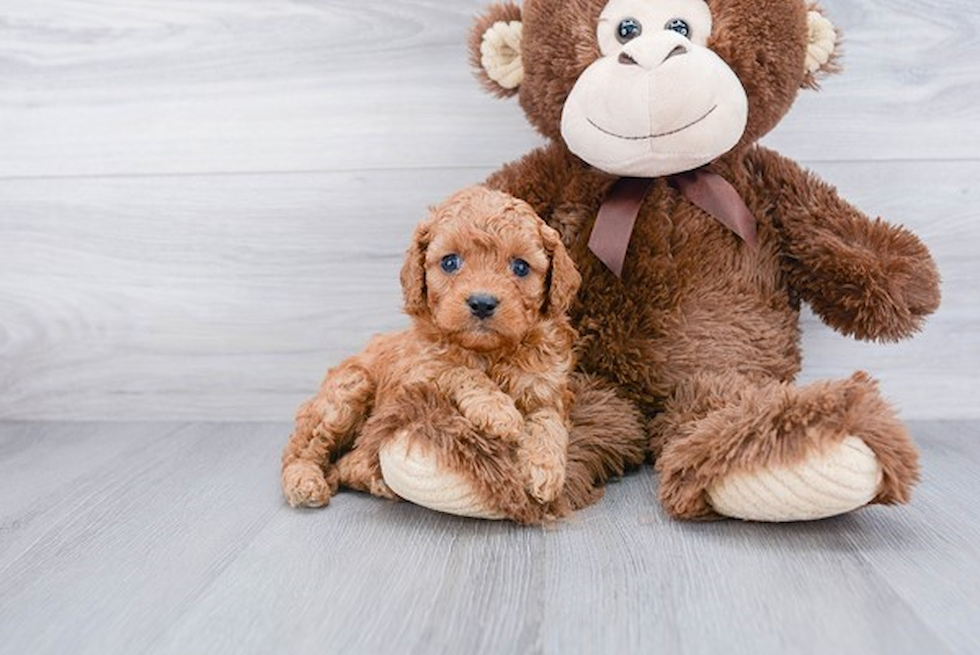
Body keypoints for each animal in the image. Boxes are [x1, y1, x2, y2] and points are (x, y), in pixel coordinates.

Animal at [280, 184, 580, 524]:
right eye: (450, 262)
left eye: (520, 267)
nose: (482, 302)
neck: (490, 353)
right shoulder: (418, 372)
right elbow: (457, 370)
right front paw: (497, 411)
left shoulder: (548, 386)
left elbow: (548, 421)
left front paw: (546, 470)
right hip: (347, 390)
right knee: (304, 450)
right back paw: (305, 480)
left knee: (347, 463)